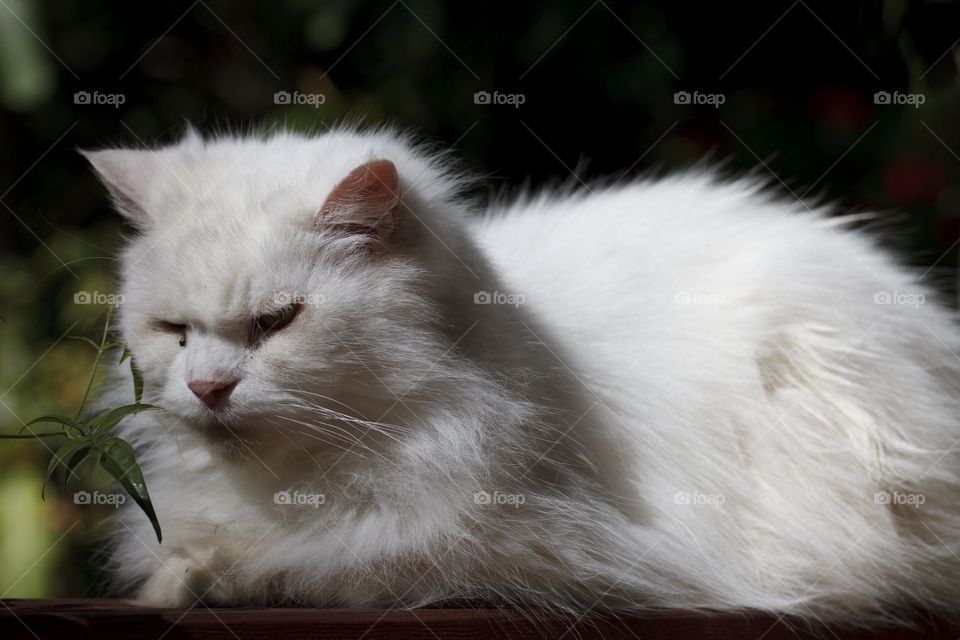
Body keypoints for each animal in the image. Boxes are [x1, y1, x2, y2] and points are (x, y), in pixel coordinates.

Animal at [82, 124, 960, 620]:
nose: (207, 389)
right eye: (174, 332)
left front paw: (188, 579)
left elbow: (306, 564)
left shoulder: (508, 549)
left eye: (276, 323)